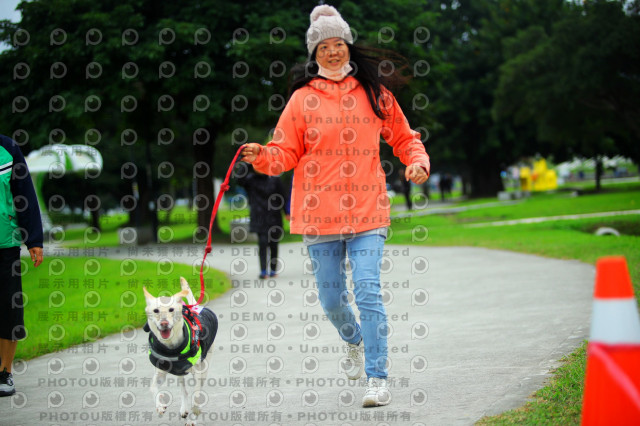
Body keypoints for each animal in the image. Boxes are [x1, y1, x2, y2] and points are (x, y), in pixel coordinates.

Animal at [143, 277, 218, 425]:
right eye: (156, 310)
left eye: (171, 309)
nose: (164, 323)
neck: (170, 346)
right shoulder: (160, 371)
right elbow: (152, 387)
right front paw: (160, 405)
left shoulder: (199, 372)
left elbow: (197, 396)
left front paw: (194, 415)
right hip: (179, 372)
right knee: (184, 390)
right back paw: (184, 408)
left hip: (205, 365)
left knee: (198, 389)